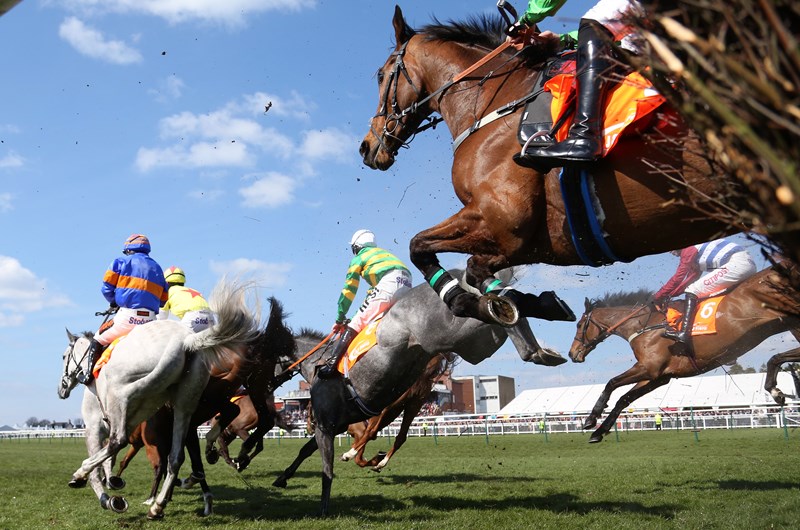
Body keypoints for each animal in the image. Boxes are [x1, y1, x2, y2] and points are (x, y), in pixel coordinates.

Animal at [59, 280, 260, 516]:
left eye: (64, 357)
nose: (62, 389)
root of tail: (184, 341)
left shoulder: (95, 425)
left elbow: (101, 465)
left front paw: (98, 491)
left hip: (130, 395)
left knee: (120, 441)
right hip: (184, 406)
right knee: (177, 457)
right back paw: (161, 504)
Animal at [360, 5, 740, 326]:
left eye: (380, 74)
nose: (367, 147)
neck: (494, 103)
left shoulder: (503, 222)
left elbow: (426, 249)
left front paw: (472, 302)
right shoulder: (531, 241)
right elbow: (469, 268)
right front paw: (534, 303)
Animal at [564, 264, 796, 442]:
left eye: (578, 325)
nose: (572, 353)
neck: (644, 325)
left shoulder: (648, 368)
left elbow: (611, 383)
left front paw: (591, 418)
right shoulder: (659, 376)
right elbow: (624, 398)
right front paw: (599, 431)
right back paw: (775, 387)